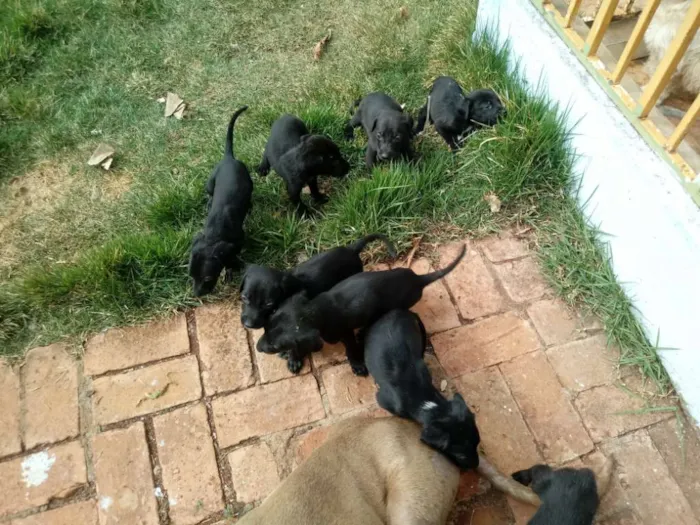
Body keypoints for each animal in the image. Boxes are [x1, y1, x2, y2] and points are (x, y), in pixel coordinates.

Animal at [189, 104, 252, 296]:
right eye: (190, 275)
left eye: (207, 279)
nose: (197, 295)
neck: (214, 234)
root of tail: (228, 158)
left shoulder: (239, 240)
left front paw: (230, 270)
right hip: (210, 184)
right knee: (210, 195)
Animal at [256, 244, 464, 374]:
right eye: (265, 328)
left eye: (275, 345)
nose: (257, 347)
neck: (315, 310)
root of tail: (418, 279)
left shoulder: (345, 333)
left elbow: (350, 349)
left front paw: (356, 364)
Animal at [360, 310, 482, 468]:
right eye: (461, 455)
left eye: (477, 443)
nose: (476, 465)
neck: (428, 402)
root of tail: (400, 311)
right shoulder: (383, 401)